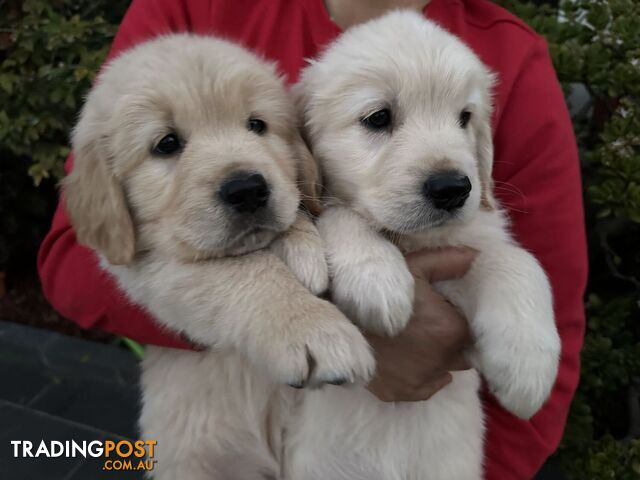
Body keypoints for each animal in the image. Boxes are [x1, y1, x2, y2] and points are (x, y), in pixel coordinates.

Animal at [63, 35, 376, 480]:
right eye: (167, 144)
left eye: (257, 125)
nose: (247, 190)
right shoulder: (144, 263)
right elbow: (240, 269)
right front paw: (313, 328)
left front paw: (303, 247)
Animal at [292, 11, 564, 480]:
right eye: (378, 117)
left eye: (464, 117)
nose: (453, 188)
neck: (409, 240)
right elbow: (335, 213)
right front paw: (376, 280)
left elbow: (518, 261)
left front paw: (528, 364)